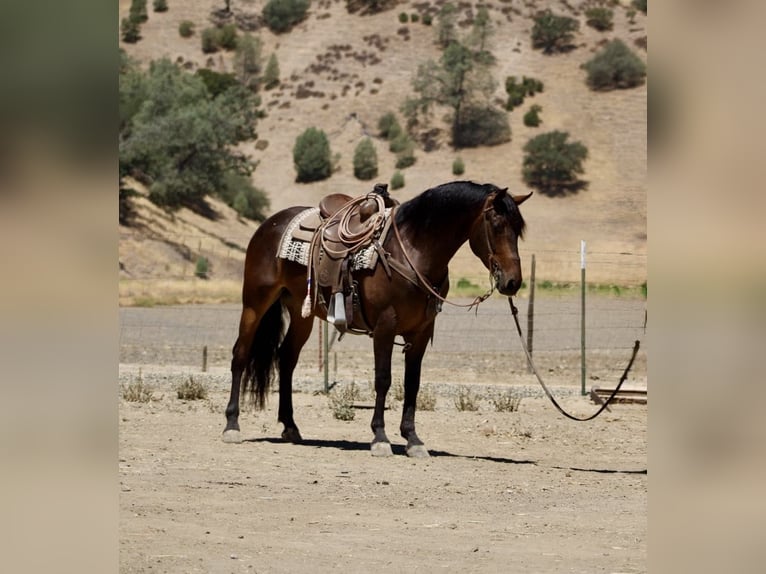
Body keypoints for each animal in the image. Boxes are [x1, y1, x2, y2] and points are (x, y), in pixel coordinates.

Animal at [222, 180, 532, 457]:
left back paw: (290, 427)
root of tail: (269, 224)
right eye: (497, 225)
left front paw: (413, 439)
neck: (413, 250)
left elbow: (412, 382)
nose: (513, 282)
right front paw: (380, 438)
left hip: (302, 312)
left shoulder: (421, 331)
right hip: (255, 303)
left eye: (518, 229)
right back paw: (232, 425)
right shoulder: (385, 326)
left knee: (286, 359)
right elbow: (383, 379)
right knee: (240, 354)